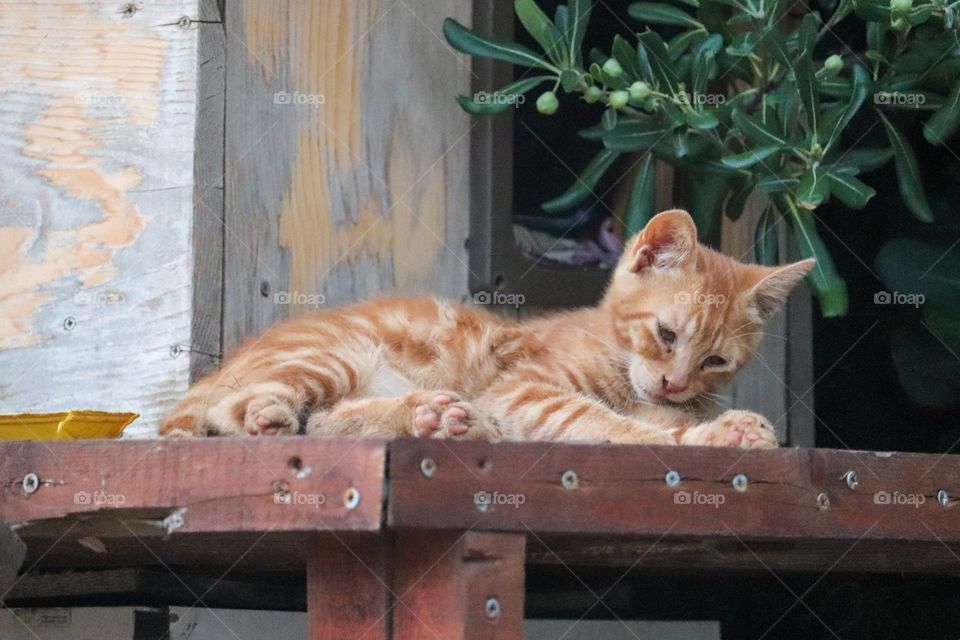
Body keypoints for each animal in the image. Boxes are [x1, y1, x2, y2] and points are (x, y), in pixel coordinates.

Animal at [161, 212, 812, 448]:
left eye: (715, 362)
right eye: (667, 334)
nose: (675, 383)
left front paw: (721, 424)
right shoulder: (523, 388)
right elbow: (608, 424)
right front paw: (697, 436)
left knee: (324, 421)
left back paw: (440, 418)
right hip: (336, 356)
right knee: (235, 413)